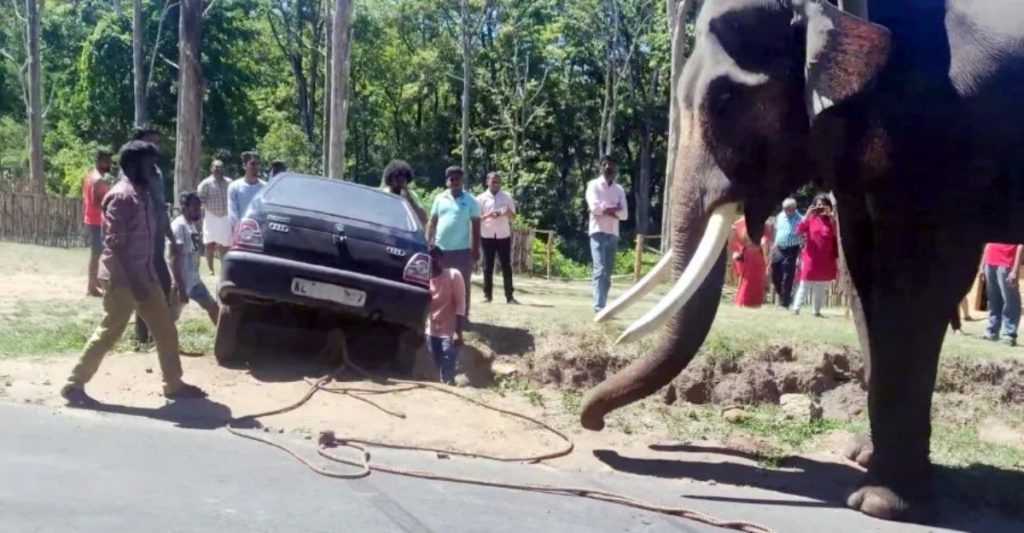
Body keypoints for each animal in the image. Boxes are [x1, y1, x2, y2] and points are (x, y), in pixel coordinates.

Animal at [581, 0, 1024, 523]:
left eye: (727, 100)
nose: (592, 426)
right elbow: (862, 277)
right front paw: (862, 457)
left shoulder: (939, 143)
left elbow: (917, 282)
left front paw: (879, 504)